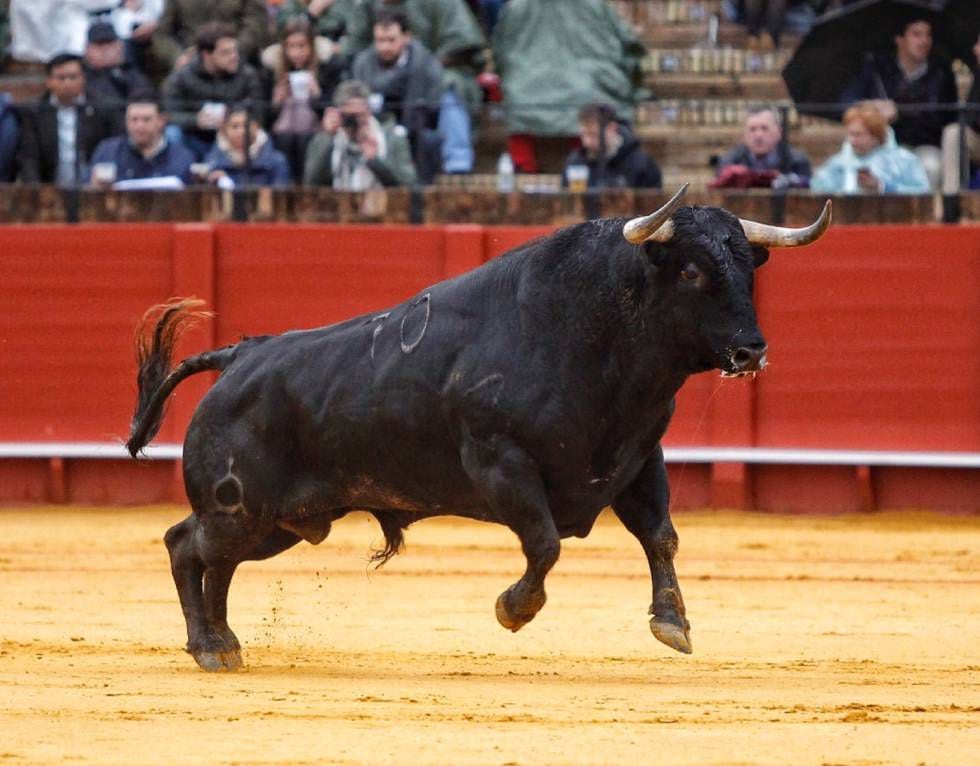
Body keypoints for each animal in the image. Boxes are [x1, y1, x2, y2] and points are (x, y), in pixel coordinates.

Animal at [126, 190, 832, 672]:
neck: (588, 332)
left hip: (279, 522)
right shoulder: (501, 462)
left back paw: (221, 645)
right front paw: (513, 610)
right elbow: (545, 542)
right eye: (690, 270)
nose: (750, 350)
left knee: (206, 557)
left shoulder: (637, 459)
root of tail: (240, 356)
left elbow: (661, 536)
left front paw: (672, 623)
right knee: (188, 548)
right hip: (240, 508)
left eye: (748, 270)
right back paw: (211, 647)